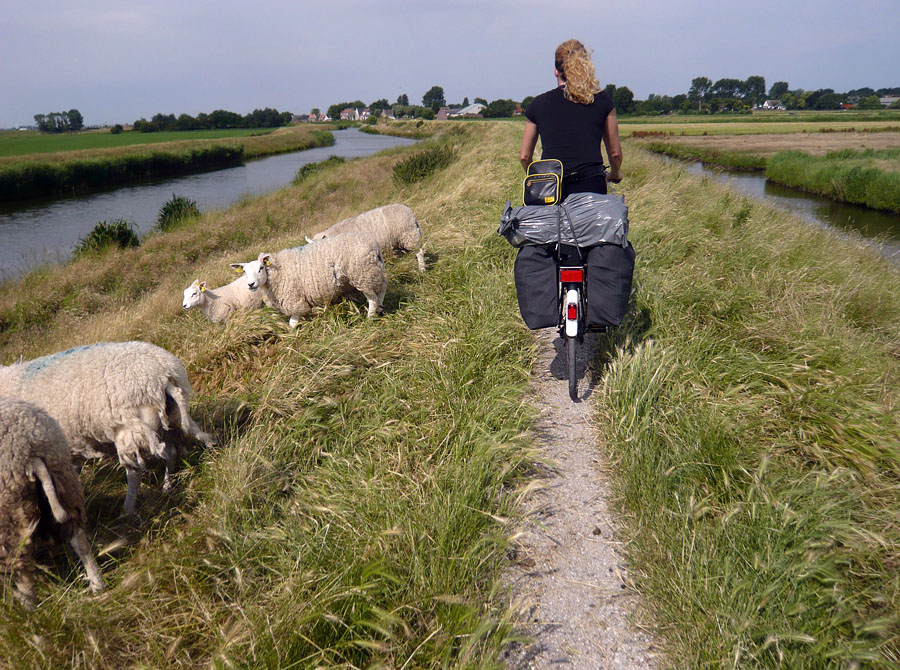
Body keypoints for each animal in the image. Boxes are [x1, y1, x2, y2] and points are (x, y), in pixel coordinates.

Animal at [0, 344, 216, 516]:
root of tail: (162, 375)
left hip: (130, 429)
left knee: (135, 471)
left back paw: (128, 510)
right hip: (169, 420)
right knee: (171, 453)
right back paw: (167, 485)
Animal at [1, 396, 105, 612]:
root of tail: (28, 446)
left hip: (8, 511)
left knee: (22, 569)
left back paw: (27, 611)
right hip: (65, 483)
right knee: (79, 540)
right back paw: (97, 584)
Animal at [230, 234, 384, 330]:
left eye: (261, 268)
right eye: (244, 272)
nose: (250, 285)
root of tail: (374, 246)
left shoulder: (293, 300)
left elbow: (292, 323)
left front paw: (292, 339)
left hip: (363, 275)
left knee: (372, 299)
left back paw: (370, 318)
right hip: (376, 271)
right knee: (381, 291)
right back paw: (380, 310)